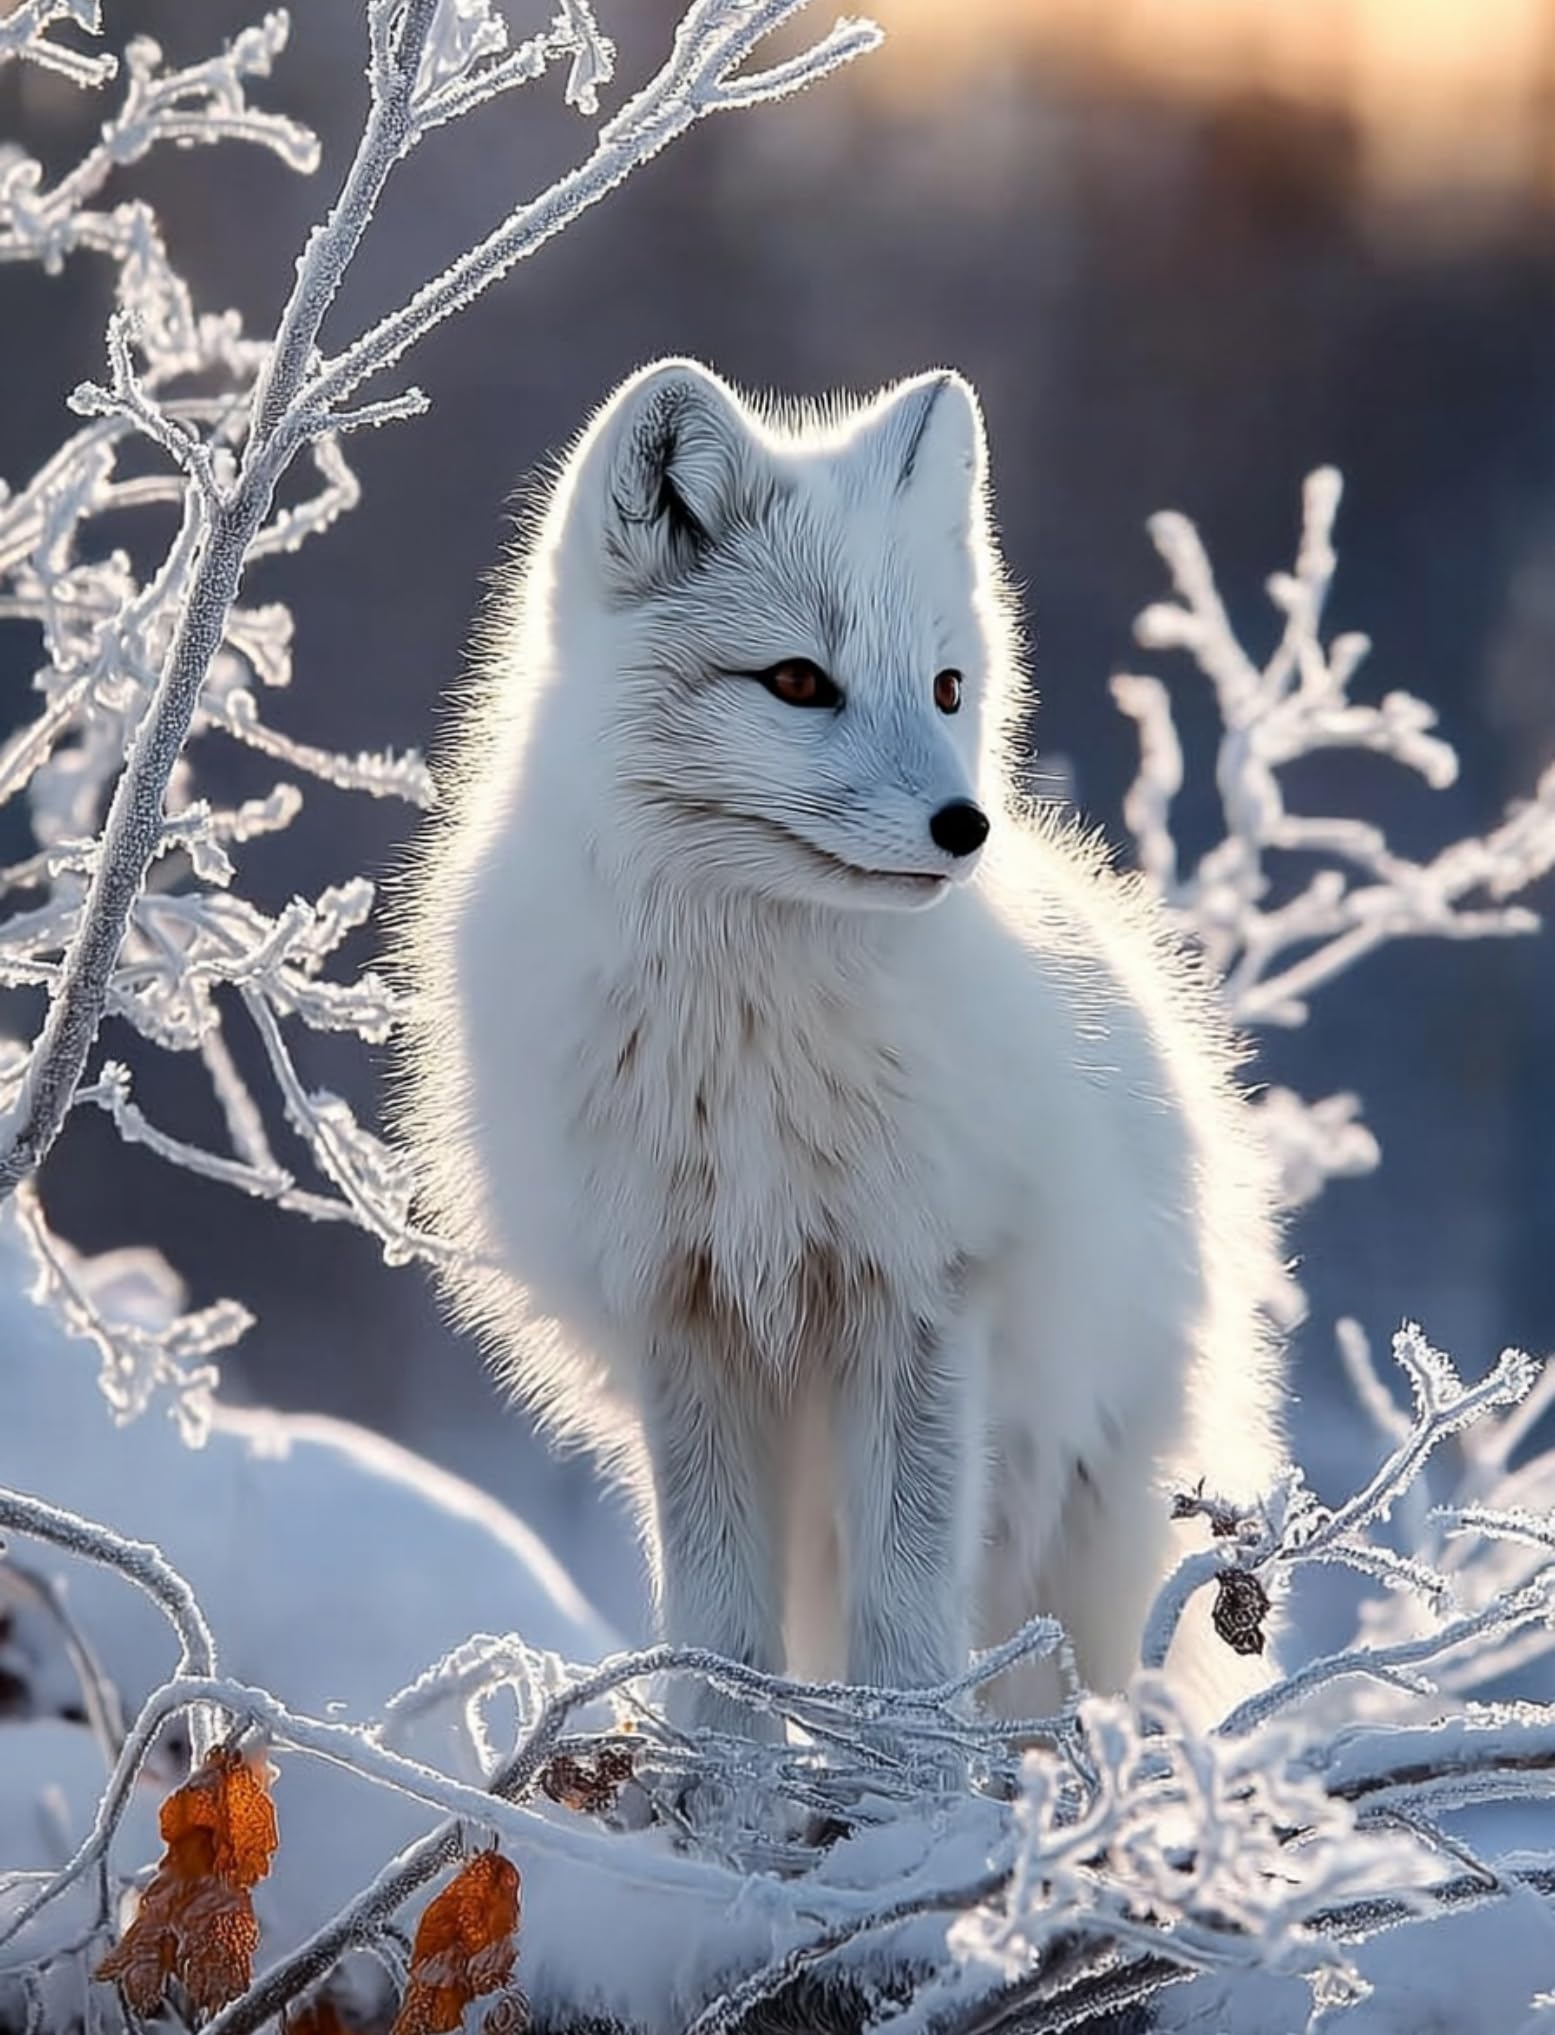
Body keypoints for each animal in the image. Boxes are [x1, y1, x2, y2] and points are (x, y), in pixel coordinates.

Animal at [392, 357, 1286, 1738]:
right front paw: (722, 1770)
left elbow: (906, 1614)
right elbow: (719, 1621)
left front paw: (901, 1771)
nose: (966, 826)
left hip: (1066, 1506)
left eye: (948, 688)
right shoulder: (687, 1307)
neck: (754, 1030)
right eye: (798, 682)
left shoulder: (916, 1288)